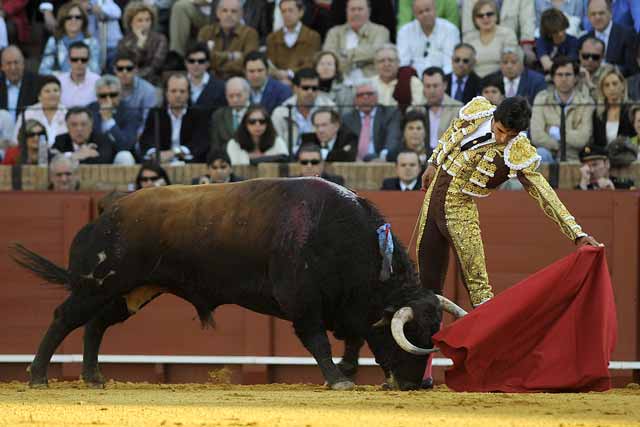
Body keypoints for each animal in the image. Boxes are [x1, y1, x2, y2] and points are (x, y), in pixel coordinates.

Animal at [12, 177, 462, 392]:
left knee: (95, 325)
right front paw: (337, 378)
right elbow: (318, 341)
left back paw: (94, 377)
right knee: (64, 318)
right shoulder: (302, 304)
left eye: (434, 331)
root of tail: (107, 213)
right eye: (412, 335)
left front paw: (349, 371)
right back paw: (37, 376)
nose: (415, 384)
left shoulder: (348, 308)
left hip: (129, 293)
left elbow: (352, 339)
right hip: (97, 285)